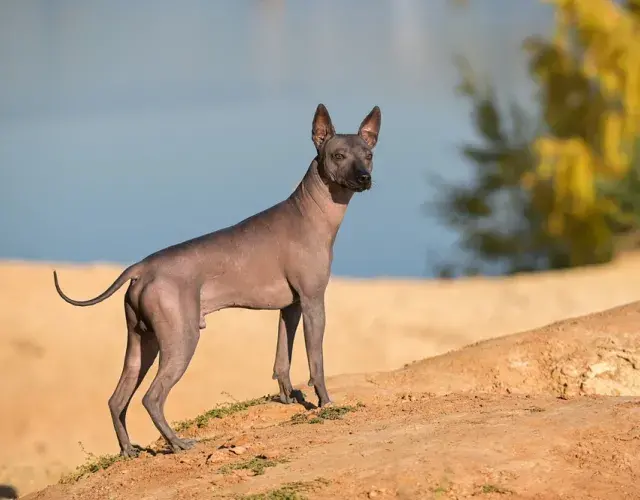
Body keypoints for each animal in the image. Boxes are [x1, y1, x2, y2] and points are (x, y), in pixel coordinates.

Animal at [53, 103, 380, 458]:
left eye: (368, 154)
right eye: (338, 156)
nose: (365, 177)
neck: (310, 212)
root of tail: (142, 267)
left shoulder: (291, 308)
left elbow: (282, 358)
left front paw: (287, 397)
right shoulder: (313, 302)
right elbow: (316, 361)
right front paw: (324, 401)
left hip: (142, 343)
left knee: (117, 399)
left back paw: (128, 450)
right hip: (181, 339)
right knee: (151, 398)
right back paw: (177, 443)